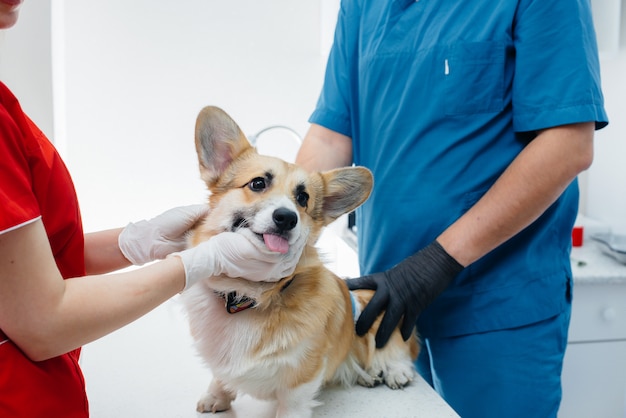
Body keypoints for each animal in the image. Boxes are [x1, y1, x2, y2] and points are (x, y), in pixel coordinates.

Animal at [178, 106, 416, 416]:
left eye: (303, 198)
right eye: (258, 183)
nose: (286, 218)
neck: (249, 295)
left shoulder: (302, 378)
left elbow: (291, 405)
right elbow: (221, 375)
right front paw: (216, 396)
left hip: (375, 316)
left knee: (394, 349)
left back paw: (392, 370)